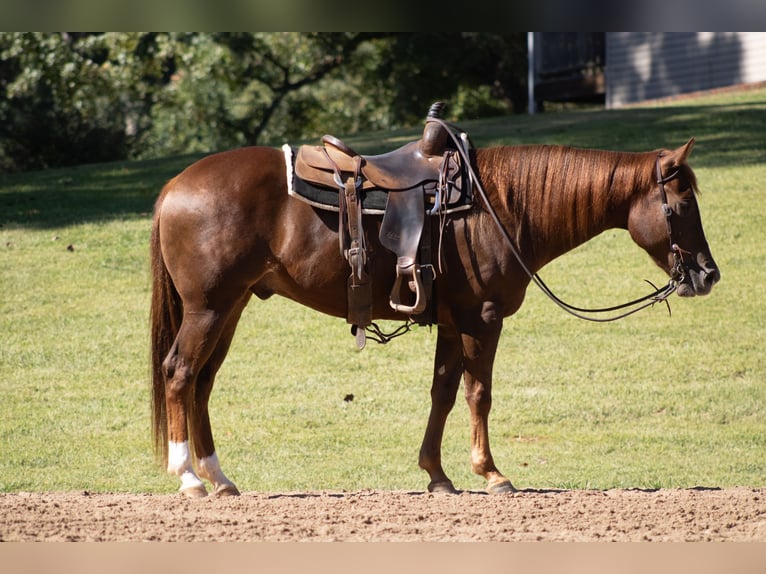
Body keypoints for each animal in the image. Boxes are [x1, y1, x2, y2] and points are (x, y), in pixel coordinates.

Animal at [150, 134, 720, 498]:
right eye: (682, 205)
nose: (708, 274)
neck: (500, 207)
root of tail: (173, 187)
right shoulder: (482, 318)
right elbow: (478, 393)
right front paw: (491, 474)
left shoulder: (451, 320)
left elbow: (443, 392)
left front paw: (437, 475)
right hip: (209, 308)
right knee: (179, 373)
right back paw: (189, 478)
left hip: (232, 306)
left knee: (201, 383)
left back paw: (220, 479)